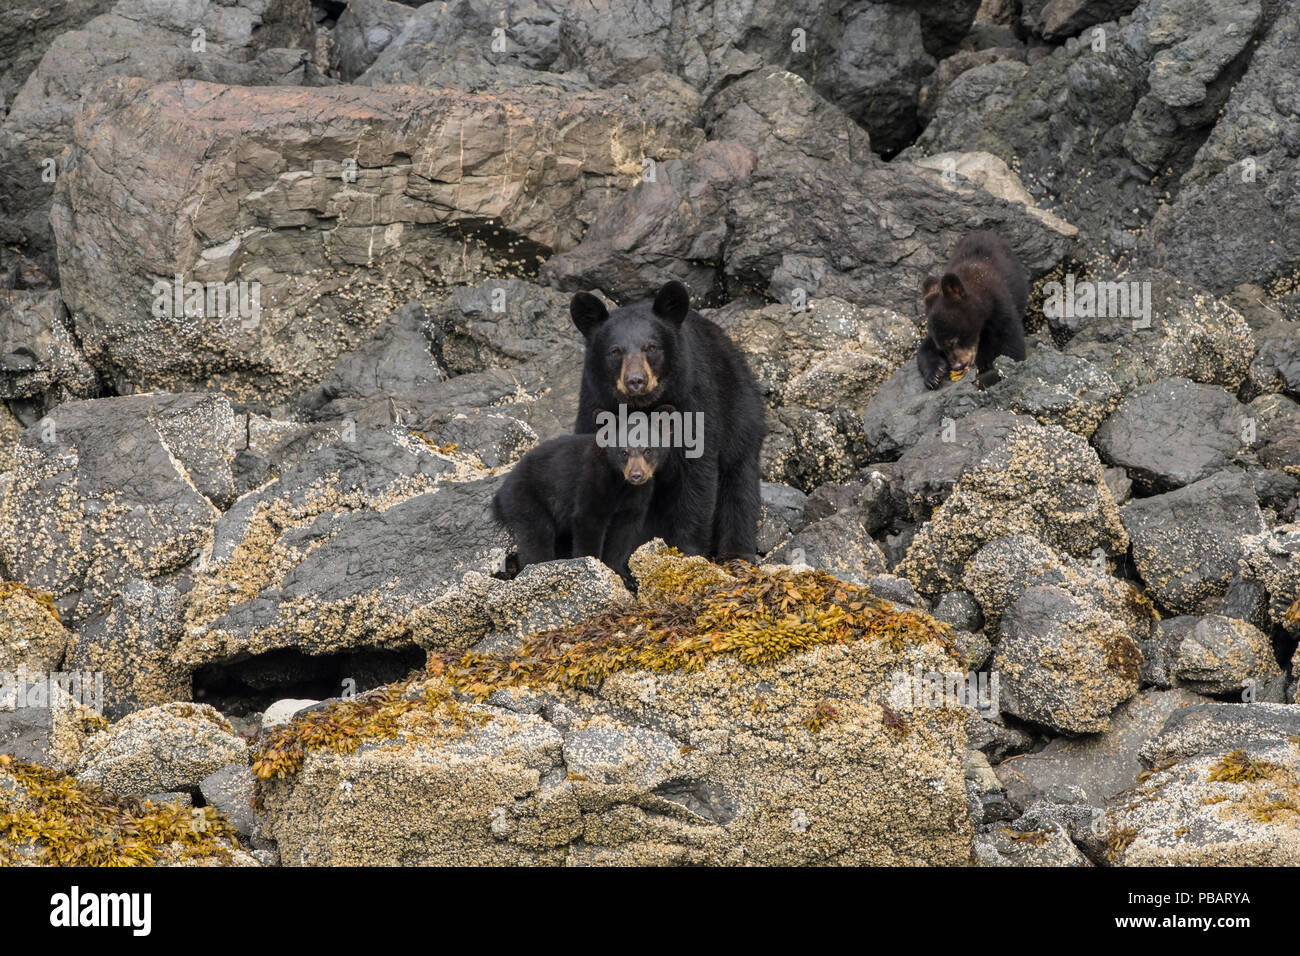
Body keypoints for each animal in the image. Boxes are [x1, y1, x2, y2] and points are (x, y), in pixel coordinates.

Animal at [483, 424, 676, 582]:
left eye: (648, 450)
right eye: (624, 452)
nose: (636, 475)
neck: (621, 483)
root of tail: (501, 492)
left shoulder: (638, 495)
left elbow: (624, 530)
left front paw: (620, 573)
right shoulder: (594, 477)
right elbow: (589, 519)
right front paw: (592, 564)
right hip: (526, 497)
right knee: (537, 534)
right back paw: (537, 566)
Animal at [572, 280, 769, 561]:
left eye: (651, 347)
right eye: (615, 351)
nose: (636, 381)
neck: (642, 408)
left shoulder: (694, 405)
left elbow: (696, 480)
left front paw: (686, 552)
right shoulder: (595, 404)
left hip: (741, 415)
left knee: (740, 486)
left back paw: (736, 557)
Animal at [915, 231, 1024, 390]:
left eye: (954, 340)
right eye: (942, 348)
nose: (957, 366)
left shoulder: (1000, 306)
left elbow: (1010, 338)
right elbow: (925, 348)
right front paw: (934, 375)